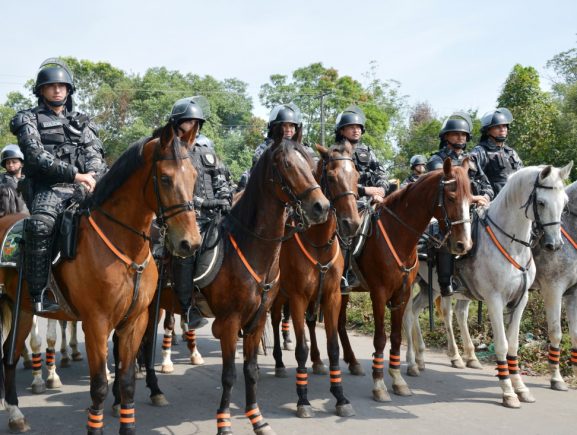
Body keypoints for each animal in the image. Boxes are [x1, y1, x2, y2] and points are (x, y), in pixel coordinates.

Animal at [0, 123, 202, 435]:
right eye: (166, 179)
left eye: (193, 176)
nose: (189, 243)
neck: (124, 246)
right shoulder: (96, 323)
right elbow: (98, 386)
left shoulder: (135, 321)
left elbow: (127, 380)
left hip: (21, 309)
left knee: (7, 357)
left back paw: (16, 414)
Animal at [270, 142, 360, 418]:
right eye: (331, 177)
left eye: (357, 176)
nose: (352, 223)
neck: (319, 243)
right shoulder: (297, 298)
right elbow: (301, 348)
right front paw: (303, 399)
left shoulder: (332, 297)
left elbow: (333, 347)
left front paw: (340, 396)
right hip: (279, 296)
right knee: (274, 321)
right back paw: (278, 362)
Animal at [308, 157, 470, 402]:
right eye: (451, 197)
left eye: (470, 198)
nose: (463, 245)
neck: (398, 236)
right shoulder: (379, 293)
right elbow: (380, 339)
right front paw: (379, 385)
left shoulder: (401, 294)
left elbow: (395, 337)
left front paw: (398, 380)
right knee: (310, 321)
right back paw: (317, 361)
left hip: (343, 292)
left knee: (340, 323)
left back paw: (353, 362)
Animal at [404, 164, 572, 408]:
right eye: (541, 202)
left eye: (565, 202)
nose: (555, 244)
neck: (512, 246)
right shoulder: (495, 300)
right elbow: (501, 344)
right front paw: (508, 392)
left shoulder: (520, 301)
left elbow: (513, 345)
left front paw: (521, 387)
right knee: (408, 315)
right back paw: (412, 362)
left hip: (429, 287)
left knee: (416, 311)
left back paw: (421, 358)